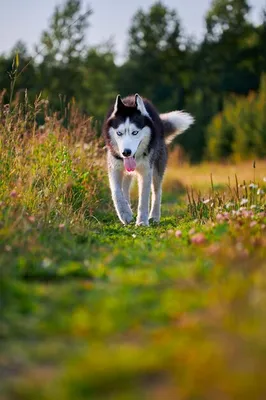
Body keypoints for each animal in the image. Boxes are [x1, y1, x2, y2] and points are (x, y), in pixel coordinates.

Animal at [103, 94, 193, 225]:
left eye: (135, 132)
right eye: (119, 133)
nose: (126, 152)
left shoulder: (146, 171)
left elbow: (144, 199)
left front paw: (142, 222)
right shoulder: (115, 168)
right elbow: (116, 192)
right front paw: (125, 214)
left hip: (156, 169)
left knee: (157, 192)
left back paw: (154, 216)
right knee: (125, 188)